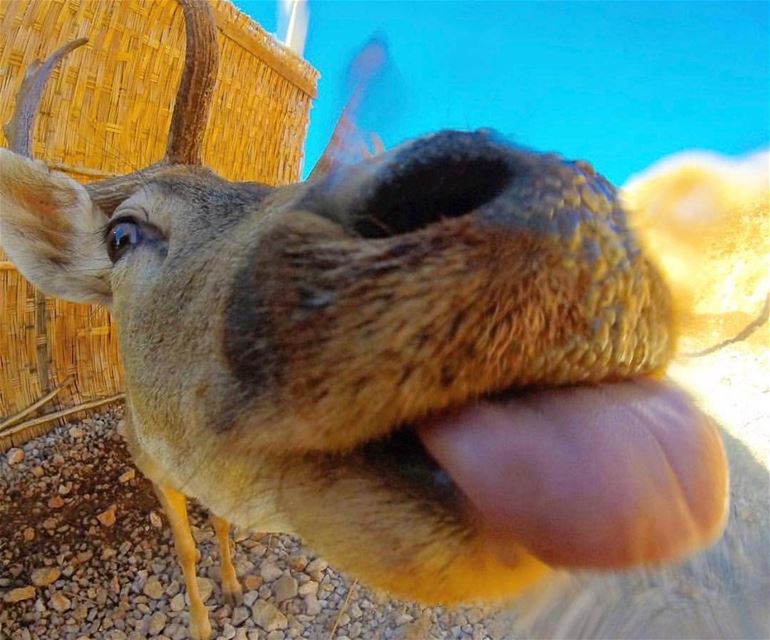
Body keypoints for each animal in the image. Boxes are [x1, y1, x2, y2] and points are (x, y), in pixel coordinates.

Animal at [0, 1, 732, 640]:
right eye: (122, 234)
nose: (561, 203)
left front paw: (234, 585)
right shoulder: (146, 459)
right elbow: (187, 548)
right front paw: (209, 614)